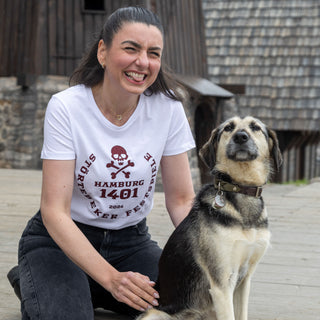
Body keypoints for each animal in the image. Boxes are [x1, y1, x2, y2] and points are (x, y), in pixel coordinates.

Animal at [136, 116, 282, 318]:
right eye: (228, 128)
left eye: (255, 127)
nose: (241, 137)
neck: (240, 189)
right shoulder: (222, 283)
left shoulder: (244, 280)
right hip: (155, 314)